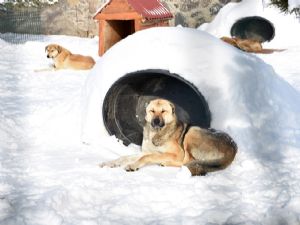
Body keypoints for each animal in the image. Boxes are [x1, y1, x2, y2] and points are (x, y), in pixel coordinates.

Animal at [99, 99, 238, 176]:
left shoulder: (177, 154)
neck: (156, 133)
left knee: (186, 162)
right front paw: (109, 163)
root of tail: (233, 148)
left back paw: (164, 163)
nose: (156, 121)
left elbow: (147, 157)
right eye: (152, 111)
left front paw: (133, 165)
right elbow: (124, 157)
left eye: (163, 111)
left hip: (192, 132)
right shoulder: (146, 151)